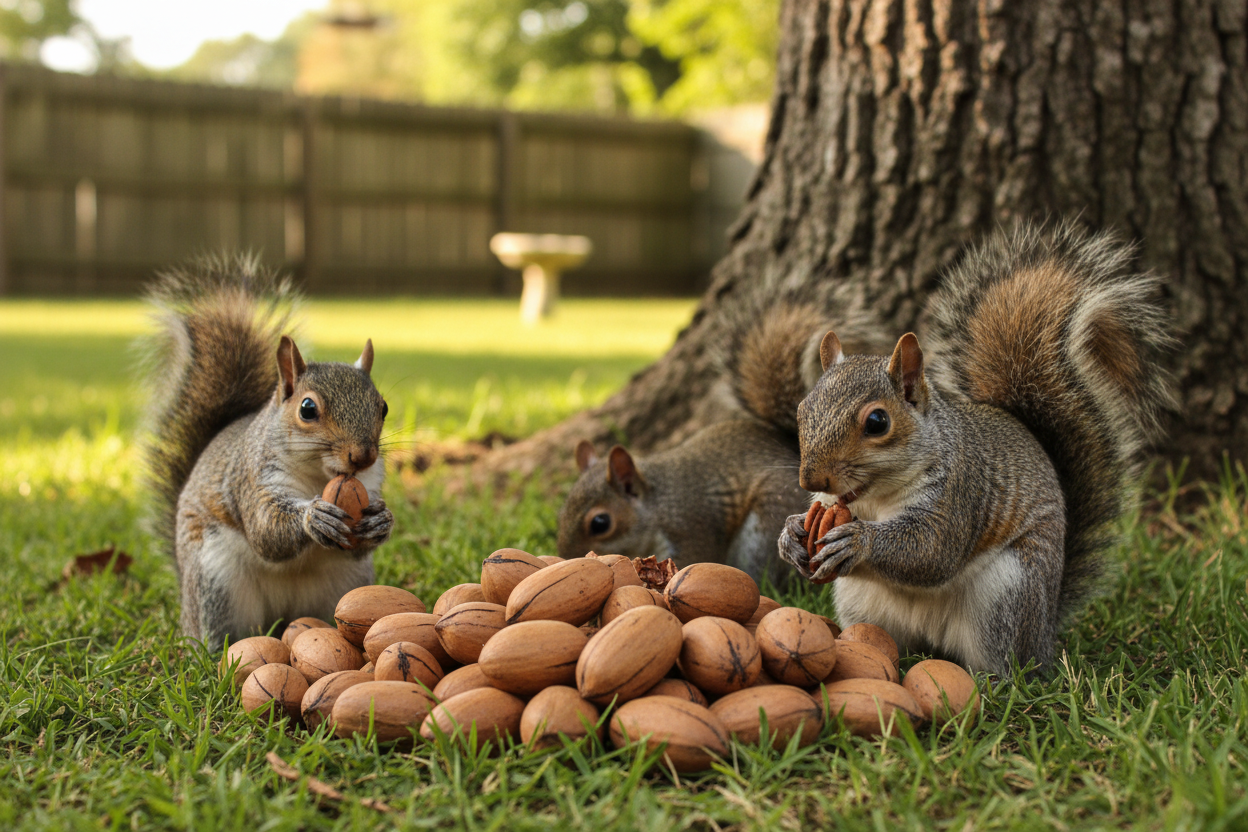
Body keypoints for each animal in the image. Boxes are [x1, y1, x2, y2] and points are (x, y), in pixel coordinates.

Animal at [142, 256, 395, 648]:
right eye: (307, 409)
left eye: (382, 407)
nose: (363, 456)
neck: (318, 475)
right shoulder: (253, 477)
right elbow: (266, 530)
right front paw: (312, 517)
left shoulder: (369, 484)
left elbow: (361, 540)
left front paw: (381, 519)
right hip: (217, 582)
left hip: (346, 583)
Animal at [557, 297, 891, 584]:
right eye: (561, 511)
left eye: (600, 523)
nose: (565, 558)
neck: (657, 506)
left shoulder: (691, 531)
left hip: (764, 528)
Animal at [778, 222, 1174, 675]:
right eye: (803, 408)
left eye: (877, 422)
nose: (811, 477)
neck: (876, 498)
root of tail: (1046, 629)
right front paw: (791, 534)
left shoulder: (959, 495)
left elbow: (930, 550)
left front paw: (858, 542)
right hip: (861, 602)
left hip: (1006, 595)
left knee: (1010, 663)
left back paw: (994, 681)